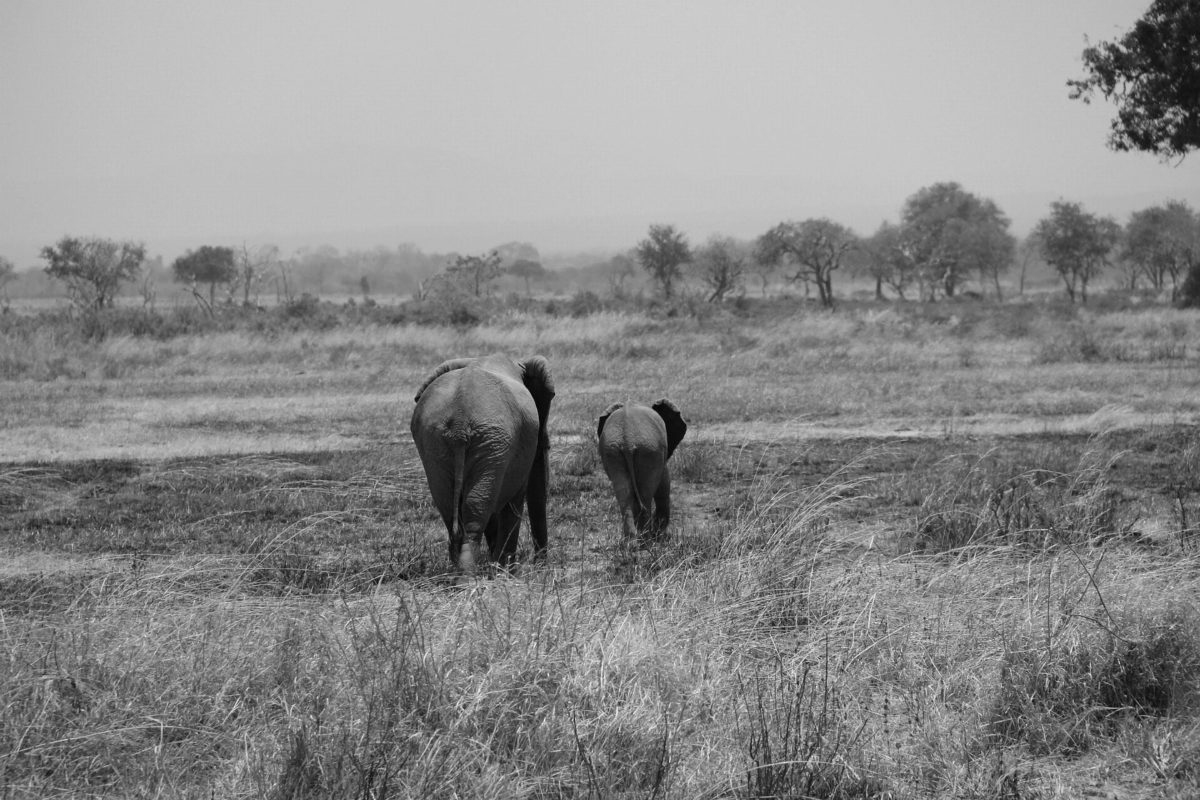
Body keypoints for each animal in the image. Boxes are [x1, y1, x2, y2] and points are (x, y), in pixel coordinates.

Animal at [411, 354, 555, 574]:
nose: (540, 565)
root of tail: (459, 422)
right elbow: (513, 501)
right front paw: (506, 572)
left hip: (436, 442)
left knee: (452, 509)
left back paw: (458, 576)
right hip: (490, 439)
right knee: (475, 513)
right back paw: (470, 578)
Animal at [596, 399, 687, 542]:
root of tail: (627, 441)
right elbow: (664, 485)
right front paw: (660, 535)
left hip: (613, 451)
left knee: (625, 494)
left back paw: (632, 542)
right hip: (648, 450)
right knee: (645, 495)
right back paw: (647, 540)